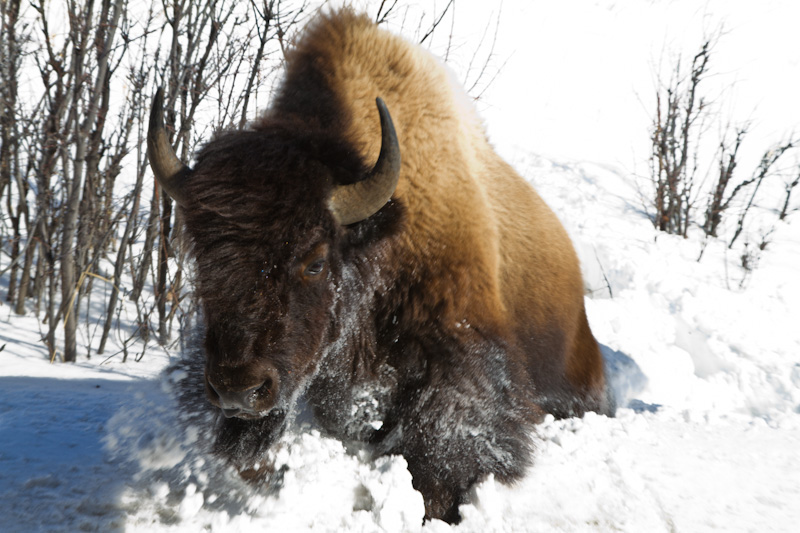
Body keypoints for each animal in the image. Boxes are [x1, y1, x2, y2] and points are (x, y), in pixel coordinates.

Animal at [148, 7, 612, 524]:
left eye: (314, 262)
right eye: (202, 254)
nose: (236, 389)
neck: (381, 228)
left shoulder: (459, 348)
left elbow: (448, 444)